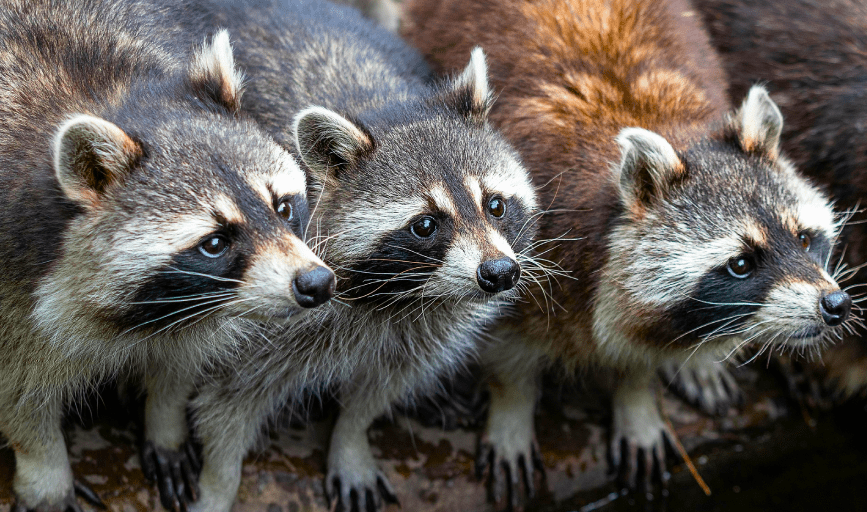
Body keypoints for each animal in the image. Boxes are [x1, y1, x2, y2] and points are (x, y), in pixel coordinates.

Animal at [0, 1, 335, 510]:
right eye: (215, 242)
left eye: (282, 207)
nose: (316, 283)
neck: (106, 95)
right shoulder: (11, 272)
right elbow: (18, 392)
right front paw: (45, 471)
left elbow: (180, 358)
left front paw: (165, 419)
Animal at [141, 0, 539, 510]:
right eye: (426, 225)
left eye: (495, 205)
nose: (499, 272)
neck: (398, 297)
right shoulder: (252, 316)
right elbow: (226, 406)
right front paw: (218, 483)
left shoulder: (420, 329)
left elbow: (378, 390)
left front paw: (350, 438)